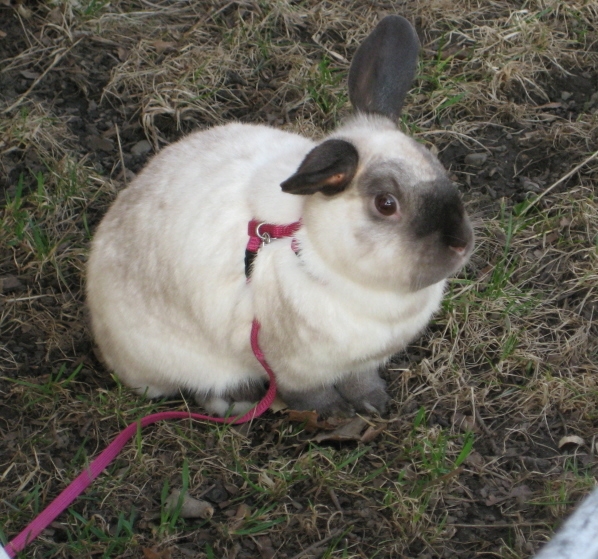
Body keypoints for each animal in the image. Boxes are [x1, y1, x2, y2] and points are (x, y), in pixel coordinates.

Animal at [86, 15, 476, 418]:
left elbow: (360, 381)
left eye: (438, 167)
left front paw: (374, 403)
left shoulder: (361, 363)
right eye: (386, 203)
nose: (461, 244)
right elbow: (309, 395)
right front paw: (334, 414)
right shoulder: (293, 368)